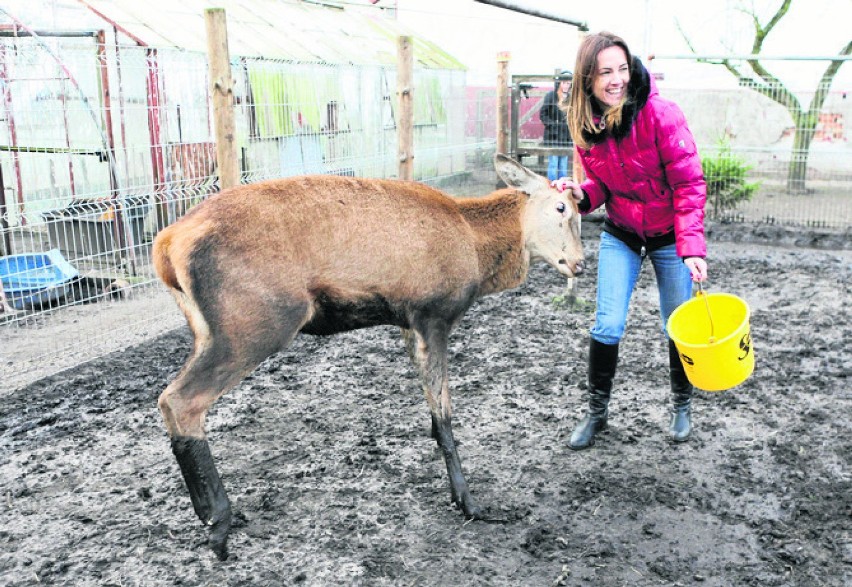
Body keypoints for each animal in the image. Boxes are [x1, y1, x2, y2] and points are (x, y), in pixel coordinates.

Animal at [151, 155, 584, 560]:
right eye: (562, 208)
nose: (579, 263)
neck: (478, 251)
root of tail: (165, 247)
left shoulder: (408, 323)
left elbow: (433, 417)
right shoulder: (433, 314)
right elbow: (445, 418)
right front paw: (469, 503)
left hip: (209, 330)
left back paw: (210, 514)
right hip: (255, 323)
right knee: (179, 399)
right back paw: (219, 522)